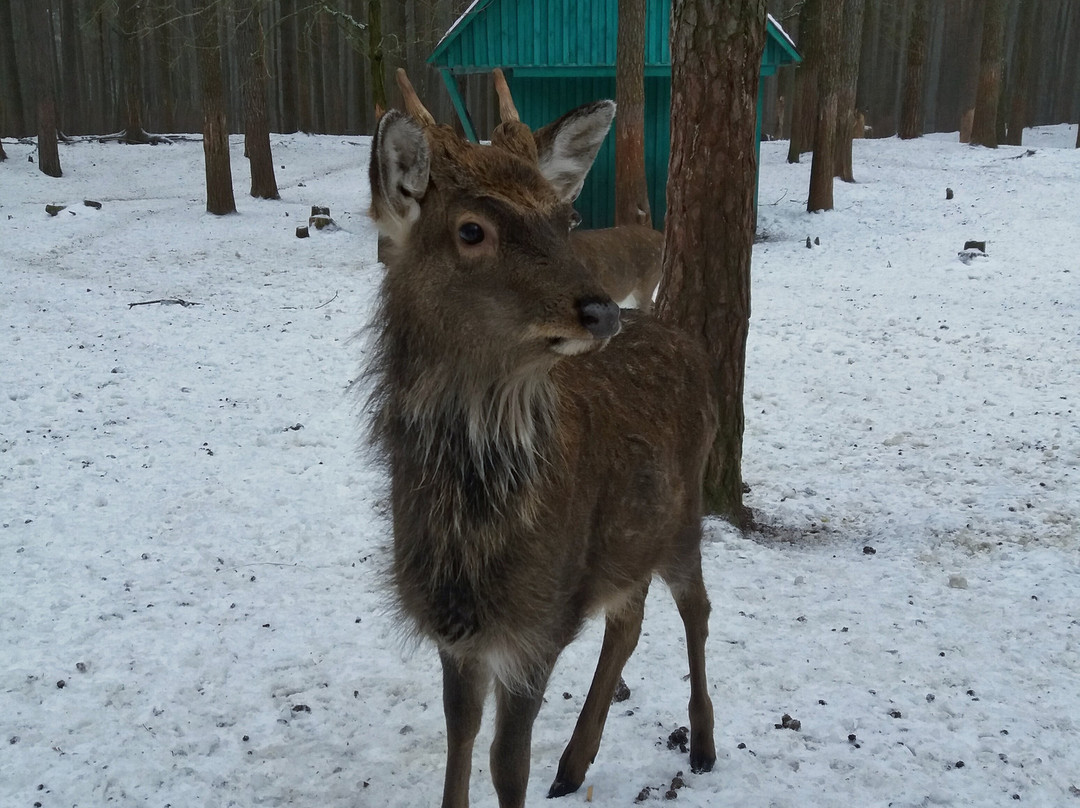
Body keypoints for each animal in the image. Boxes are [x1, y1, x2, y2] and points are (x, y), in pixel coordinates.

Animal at [365, 69, 717, 808]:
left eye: (566, 219)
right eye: (472, 229)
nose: (602, 309)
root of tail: (680, 335)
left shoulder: (541, 619)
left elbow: (507, 762)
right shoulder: (457, 629)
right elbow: (460, 735)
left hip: (685, 513)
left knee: (695, 607)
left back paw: (702, 744)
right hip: (630, 542)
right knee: (628, 618)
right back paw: (575, 763)